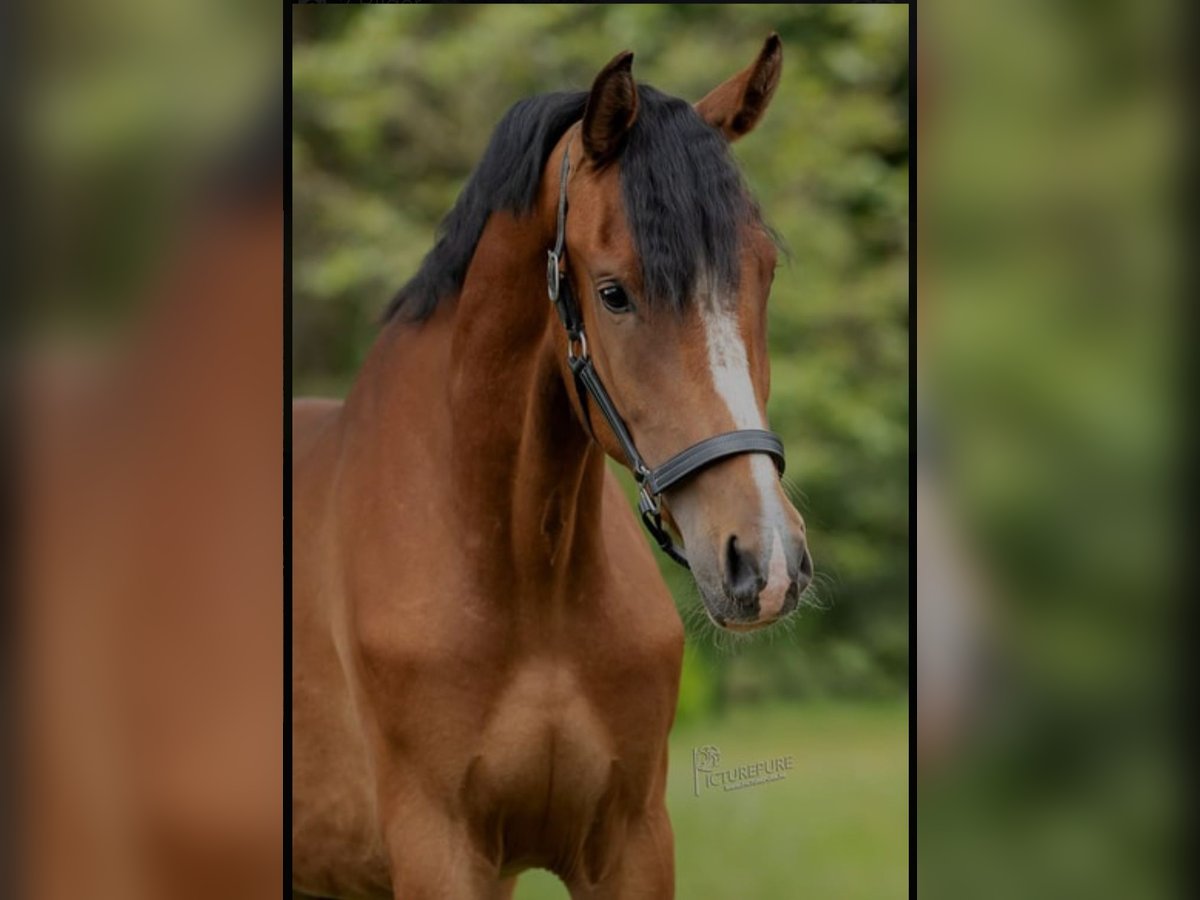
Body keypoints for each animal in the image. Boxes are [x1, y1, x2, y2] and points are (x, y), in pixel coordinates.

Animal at [294, 33, 811, 897]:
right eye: (613, 293)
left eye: (764, 271)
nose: (765, 563)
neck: (528, 589)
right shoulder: (440, 851)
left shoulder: (631, 843)